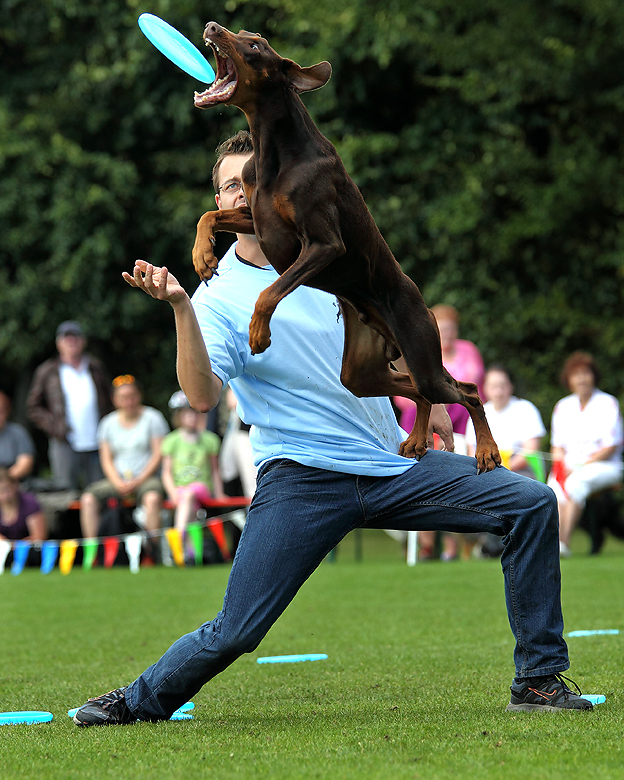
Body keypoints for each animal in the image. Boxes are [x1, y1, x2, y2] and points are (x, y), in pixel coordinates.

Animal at [193, 24, 500, 472]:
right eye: (245, 33)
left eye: (253, 44)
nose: (213, 27)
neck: (273, 151)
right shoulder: (260, 221)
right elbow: (209, 215)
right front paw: (202, 256)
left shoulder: (324, 244)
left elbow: (270, 291)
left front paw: (258, 332)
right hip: (363, 369)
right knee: (416, 390)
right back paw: (417, 440)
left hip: (422, 351)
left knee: (467, 390)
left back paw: (487, 449)